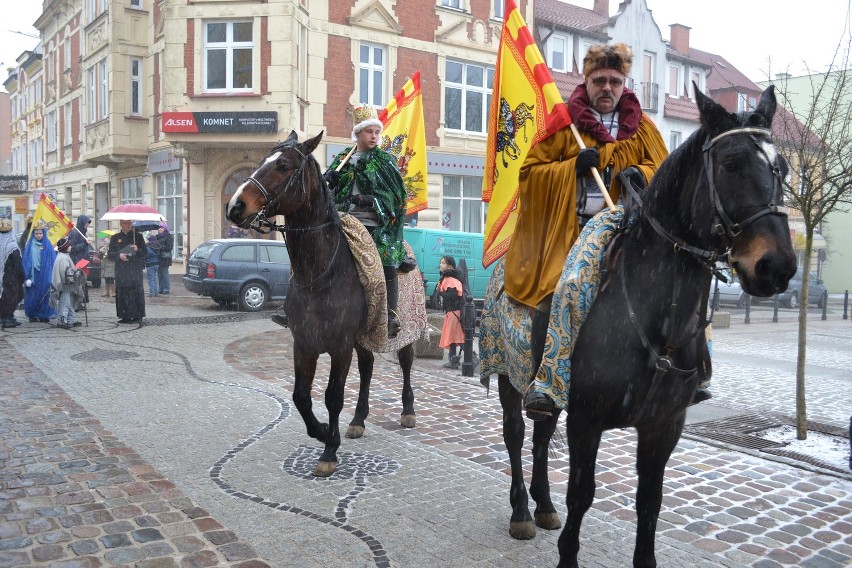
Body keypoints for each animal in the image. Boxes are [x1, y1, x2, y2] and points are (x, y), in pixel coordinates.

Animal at [225, 131, 422, 478]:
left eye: (283, 166)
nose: (236, 206)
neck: (321, 274)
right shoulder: (304, 342)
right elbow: (301, 396)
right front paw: (319, 431)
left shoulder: (340, 345)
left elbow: (332, 396)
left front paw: (330, 448)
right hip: (363, 337)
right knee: (367, 368)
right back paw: (358, 420)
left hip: (403, 332)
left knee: (406, 363)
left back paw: (407, 411)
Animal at [482, 85, 804, 568]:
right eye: (731, 163)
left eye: (781, 166)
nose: (777, 267)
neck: (658, 324)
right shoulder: (587, 420)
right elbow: (582, 494)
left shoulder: (663, 426)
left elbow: (650, 502)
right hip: (510, 375)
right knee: (517, 435)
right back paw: (522, 510)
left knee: (540, 437)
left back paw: (543, 505)